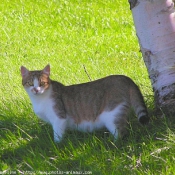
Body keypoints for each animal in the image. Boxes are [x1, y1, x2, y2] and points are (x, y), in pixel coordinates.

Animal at [20, 64, 149, 142]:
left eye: (42, 83)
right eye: (30, 83)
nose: (36, 90)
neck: (39, 99)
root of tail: (126, 78)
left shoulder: (59, 118)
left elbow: (57, 135)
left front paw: (57, 144)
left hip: (111, 114)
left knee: (121, 133)